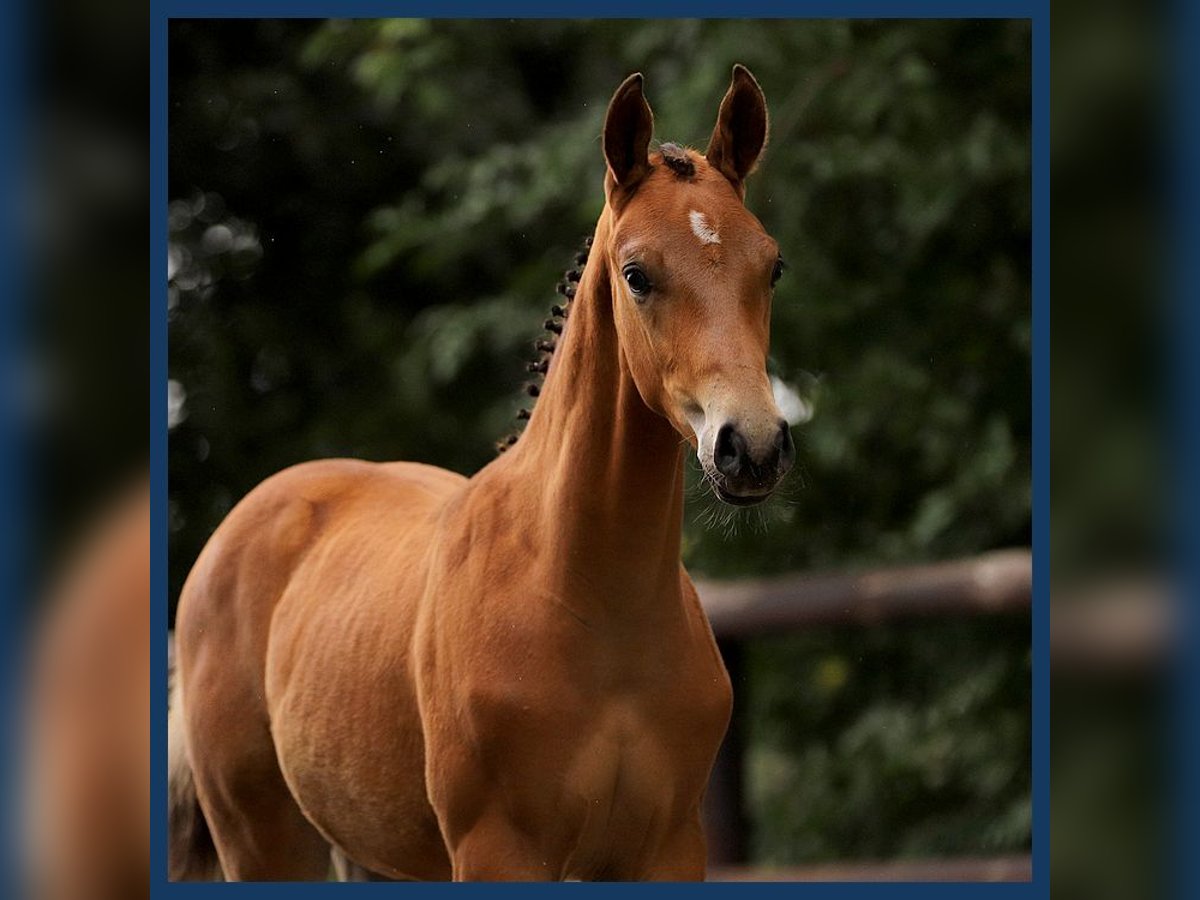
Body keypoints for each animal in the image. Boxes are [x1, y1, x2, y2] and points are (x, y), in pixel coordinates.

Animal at [164, 66, 792, 883]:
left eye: (771, 266)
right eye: (637, 275)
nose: (751, 446)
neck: (588, 596)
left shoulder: (667, 851)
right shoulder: (498, 849)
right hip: (260, 840)